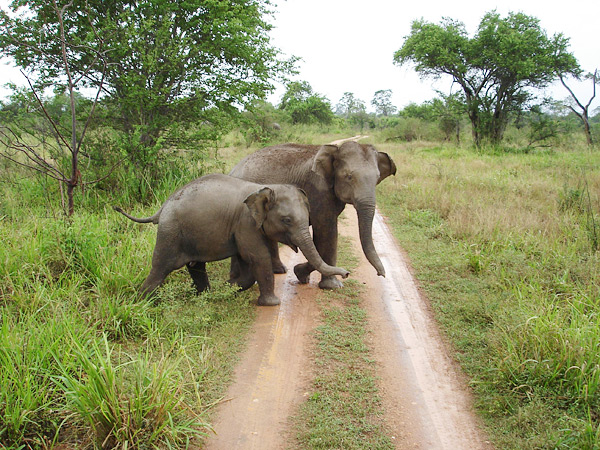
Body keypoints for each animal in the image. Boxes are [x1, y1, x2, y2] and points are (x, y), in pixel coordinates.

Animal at [114, 172, 350, 306]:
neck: (266, 188)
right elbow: (257, 257)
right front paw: (271, 304)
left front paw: (231, 287)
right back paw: (143, 303)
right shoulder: (246, 223)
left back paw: (206, 296)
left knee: (195, 266)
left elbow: (248, 262)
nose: (347, 273)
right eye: (287, 220)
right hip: (170, 232)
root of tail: (162, 208)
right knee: (161, 267)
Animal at [232, 140, 396, 288]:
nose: (381, 274)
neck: (334, 150)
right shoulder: (318, 191)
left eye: (377, 178)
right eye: (349, 177)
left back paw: (280, 270)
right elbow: (326, 233)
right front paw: (331, 285)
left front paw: (302, 274)